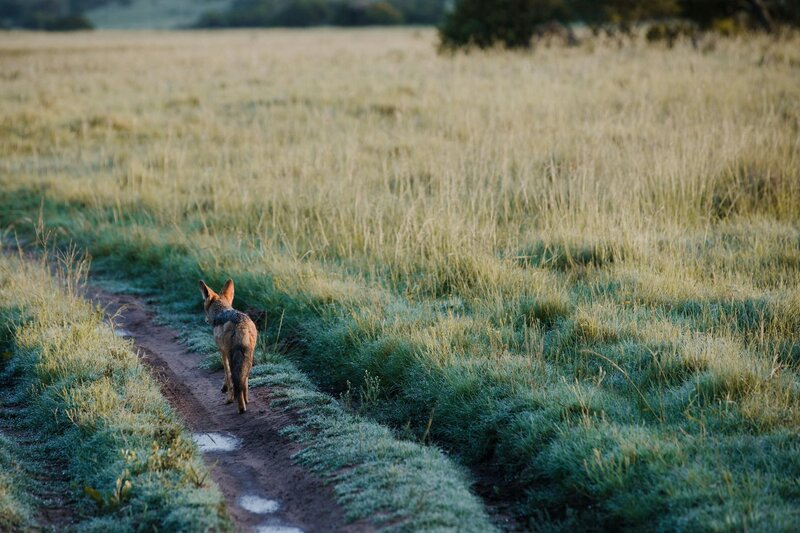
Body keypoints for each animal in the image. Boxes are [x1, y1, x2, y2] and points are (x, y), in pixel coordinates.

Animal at [199, 279, 257, 414]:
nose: (205, 320)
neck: (221, 311)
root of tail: (241, 325)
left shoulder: (222, 352)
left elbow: (227, 374)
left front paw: (228, 396)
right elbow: (234, 379)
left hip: (232, 356)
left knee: (235, 380)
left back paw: (240, 407)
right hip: (249, 358)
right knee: (243, 381)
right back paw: (246, 401)